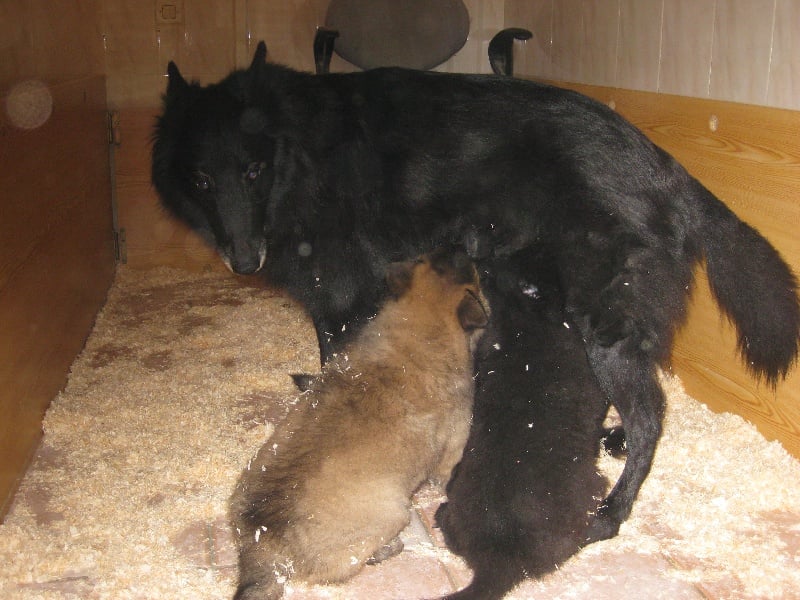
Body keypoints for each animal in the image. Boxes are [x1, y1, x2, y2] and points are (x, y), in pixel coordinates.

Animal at [152, 41, 800, 548]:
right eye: (202, 179)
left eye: (253, 171)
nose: (243, 261)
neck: (303, 153)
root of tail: (670, 170)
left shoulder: (340, 285)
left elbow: (336, 358)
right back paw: (607, 440)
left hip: (601, 322)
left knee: (649, 415)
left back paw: (612, 512)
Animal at [227, 248, 488, 600]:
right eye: (473, 278)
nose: (463, 248)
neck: (416, 329)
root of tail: (263, 542)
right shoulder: (453, 448)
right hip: (393, 512)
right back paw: (388, 549)